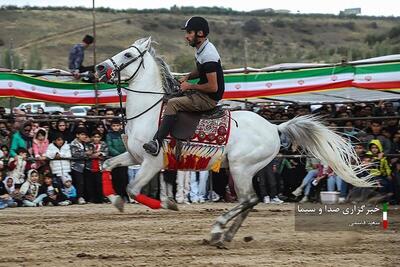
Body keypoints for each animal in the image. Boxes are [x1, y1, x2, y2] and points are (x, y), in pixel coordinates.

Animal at [96, 36, 376, 248]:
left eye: (127, 54)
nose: (98, 68)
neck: (149, 111)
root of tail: (274, 127)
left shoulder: (152, 162)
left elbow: (133, 189)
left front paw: (168, 203)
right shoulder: (134, 157)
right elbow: (107, 166)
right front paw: (115, 200)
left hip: (242, 168)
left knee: (248, 200)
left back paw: (218, 229)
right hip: (244, 170)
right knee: (250, 201)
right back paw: (225, 236)